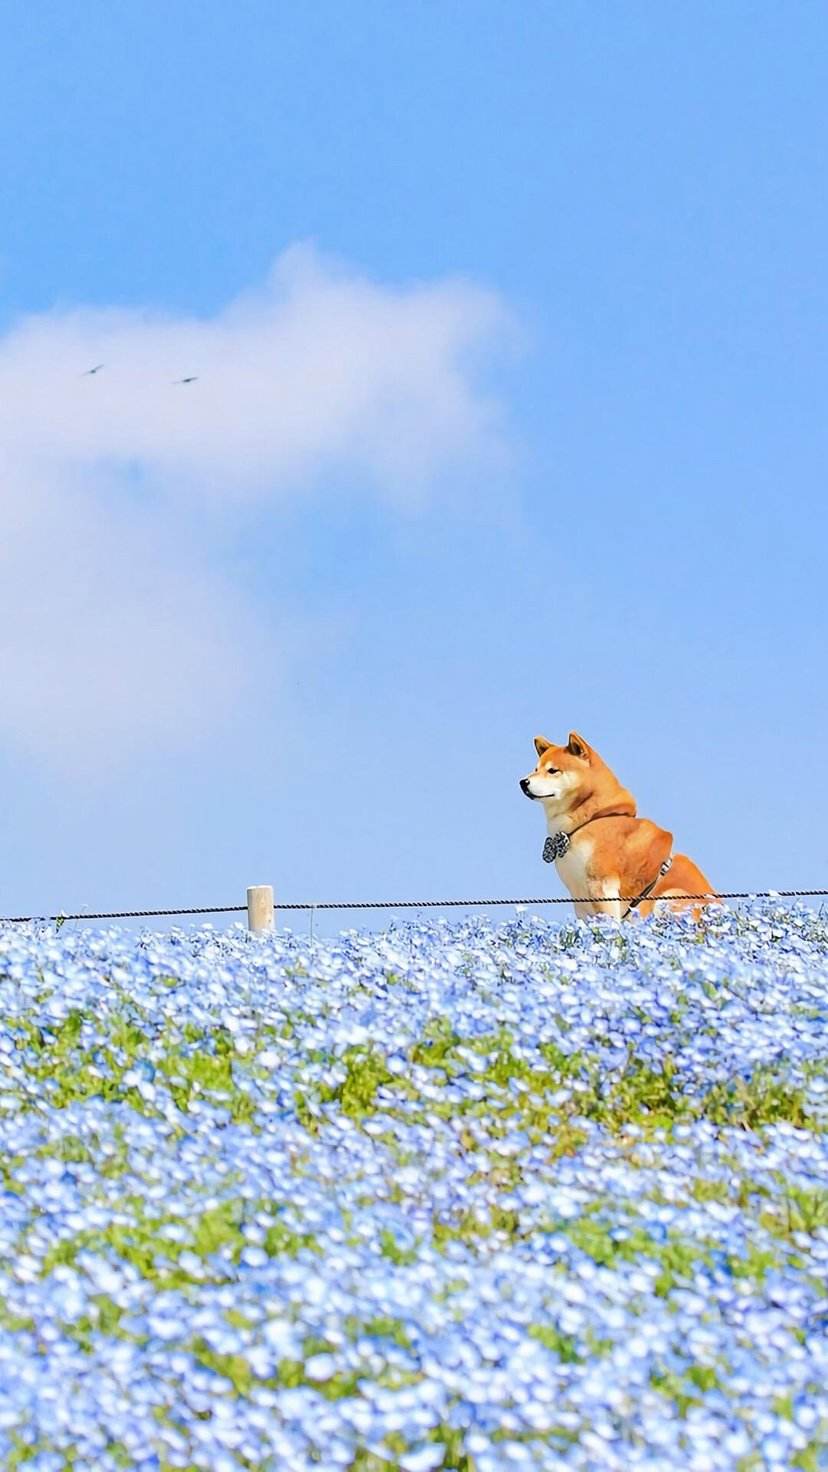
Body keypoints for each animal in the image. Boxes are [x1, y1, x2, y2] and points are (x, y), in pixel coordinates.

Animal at [518, 733, 713, 918]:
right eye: (536, 769)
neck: (593, 818)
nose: (523, 782)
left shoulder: (602, 886)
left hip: (668, 897)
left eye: (553, 770)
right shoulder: (579, 899)